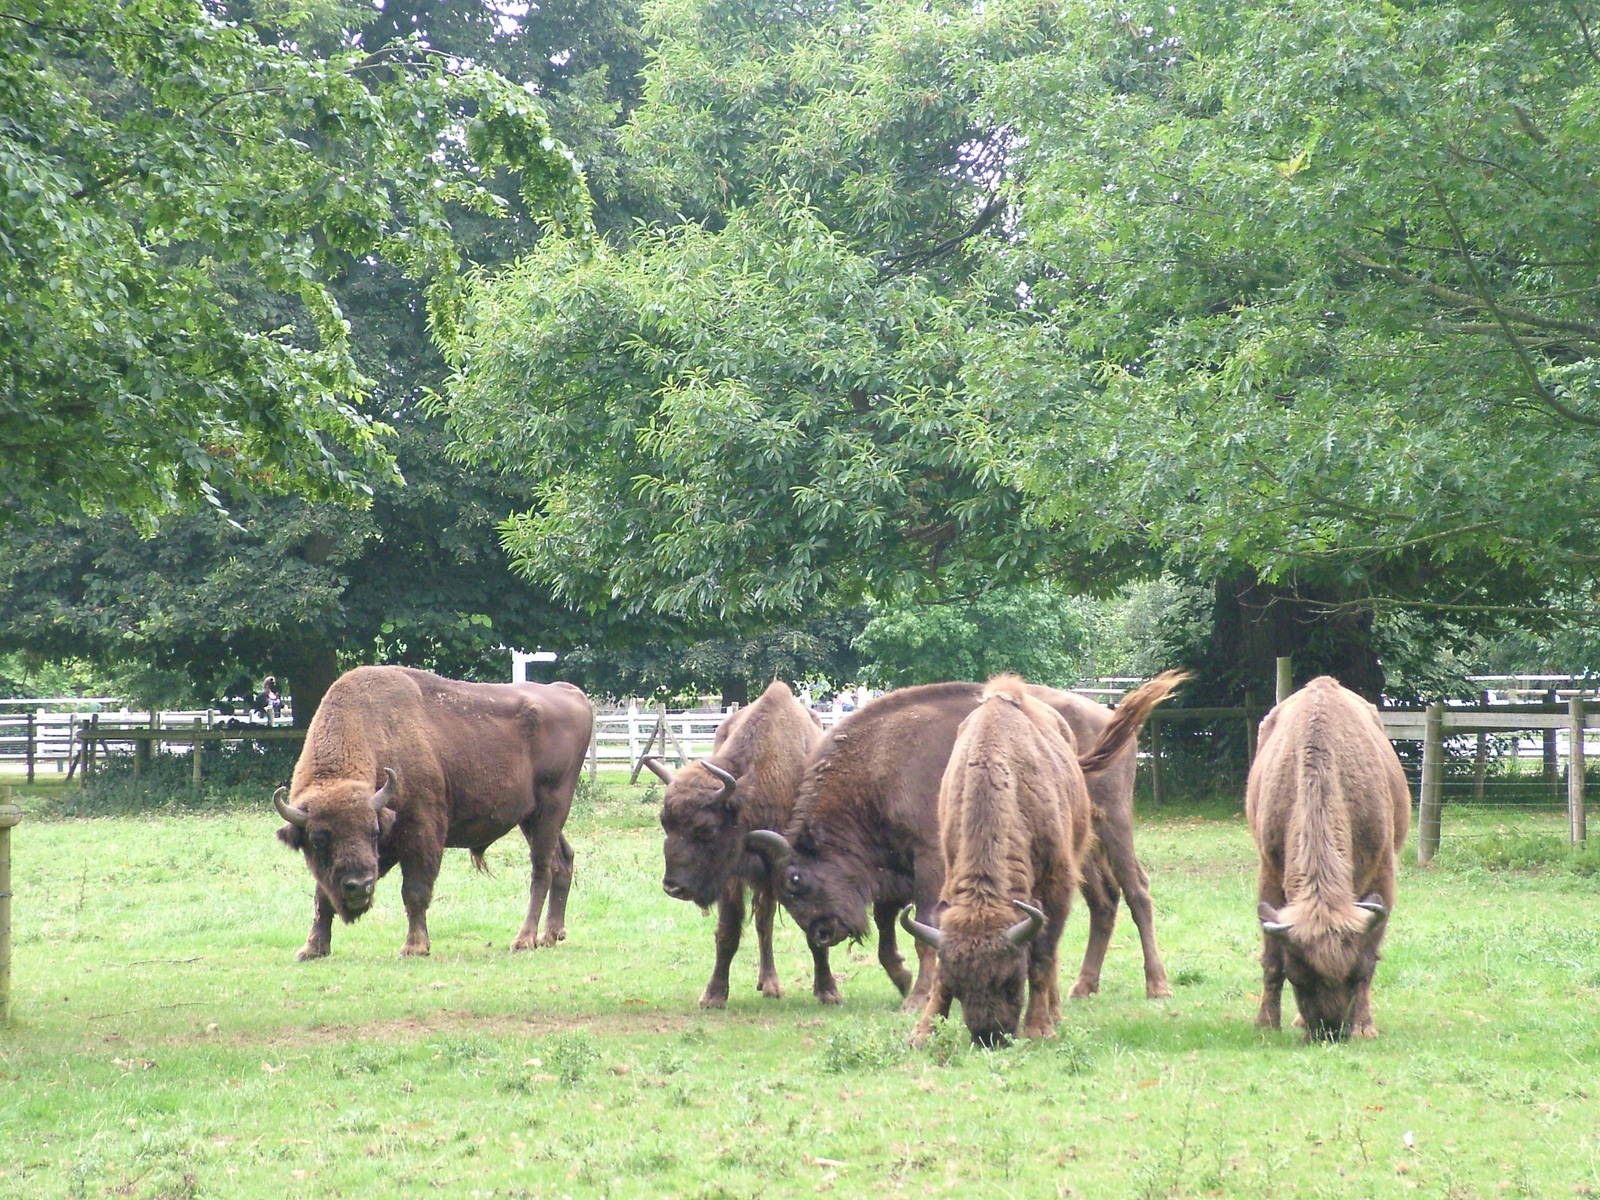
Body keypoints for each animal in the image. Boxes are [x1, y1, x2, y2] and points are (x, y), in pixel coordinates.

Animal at [272, 666, 592, 959]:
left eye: (373, 832)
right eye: (317, 841)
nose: (359, 886)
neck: (374, 731)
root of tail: (571, 693)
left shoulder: (421, 833)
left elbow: (414, 891)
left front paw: (415, 946)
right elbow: (321, 896)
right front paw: (312, 949)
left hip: (550, 810)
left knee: (541, 869)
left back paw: (524, 939)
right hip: (530, 818)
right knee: (562, 860)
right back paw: (550, 935)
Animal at [1248, 675, 1410, 1040]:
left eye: (1353, 976)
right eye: (1299, 976)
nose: (1330, 1031)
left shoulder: (1382, 875)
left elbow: (1372, 953)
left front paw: (1364, 1026)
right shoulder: (1269, 871)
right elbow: (1271, 959)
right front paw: (1266, 1022)